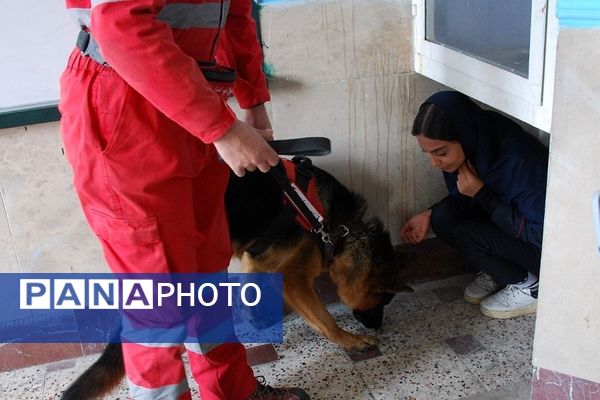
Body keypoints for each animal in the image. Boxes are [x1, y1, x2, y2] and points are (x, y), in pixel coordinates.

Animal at [61, 159, 410, 400]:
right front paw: (350, 339)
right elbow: (324, 319)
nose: (379, 326)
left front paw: (256, 320)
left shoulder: (257, 262)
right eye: (381, 299)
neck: (337, 226)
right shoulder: (292, 275)